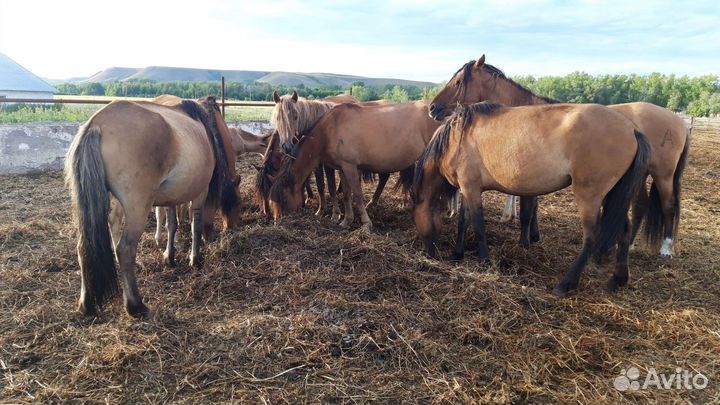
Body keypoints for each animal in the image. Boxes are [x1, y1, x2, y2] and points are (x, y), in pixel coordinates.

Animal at [65, 95, 241, 318]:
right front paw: (195, 259)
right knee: (125, 249)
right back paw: (135, 305)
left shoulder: (173, 197)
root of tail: (96, 124)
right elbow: (196, 224)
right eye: (236, 205)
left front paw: (169, 257)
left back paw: (87, 304)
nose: (231, 229)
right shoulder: (200, 193)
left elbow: (172, 225)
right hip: (137, 208)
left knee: (86, 247)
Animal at [269, 101, 439, 230]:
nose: (277, 221)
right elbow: (346, 194)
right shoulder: (343, 168)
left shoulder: (350, 167)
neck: (330, 129)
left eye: (284, 198)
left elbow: (357, 195)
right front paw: (346, 220)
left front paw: (366, 223)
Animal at [414, 102, 650, 296]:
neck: (456, 138)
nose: (428, 253)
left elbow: (478, 225)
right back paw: (618, 279)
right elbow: (464, 221)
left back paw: (567, 284)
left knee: (591, 237)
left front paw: (485, 260)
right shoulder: (467, 188)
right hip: (613, 195)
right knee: (624, 231)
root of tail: (632, 130)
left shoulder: (470, 187)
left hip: (590, 196)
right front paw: (457, 254)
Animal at [429, 55, 690, 258]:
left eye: (459, 81)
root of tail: (678, 121)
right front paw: (533, 235)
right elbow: (532, 207)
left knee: (668, 205)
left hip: (663, 175)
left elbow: (528, 209)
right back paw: (629, 245)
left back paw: (666, 249)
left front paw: (525, 240)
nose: (433, 108)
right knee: (640, 205)